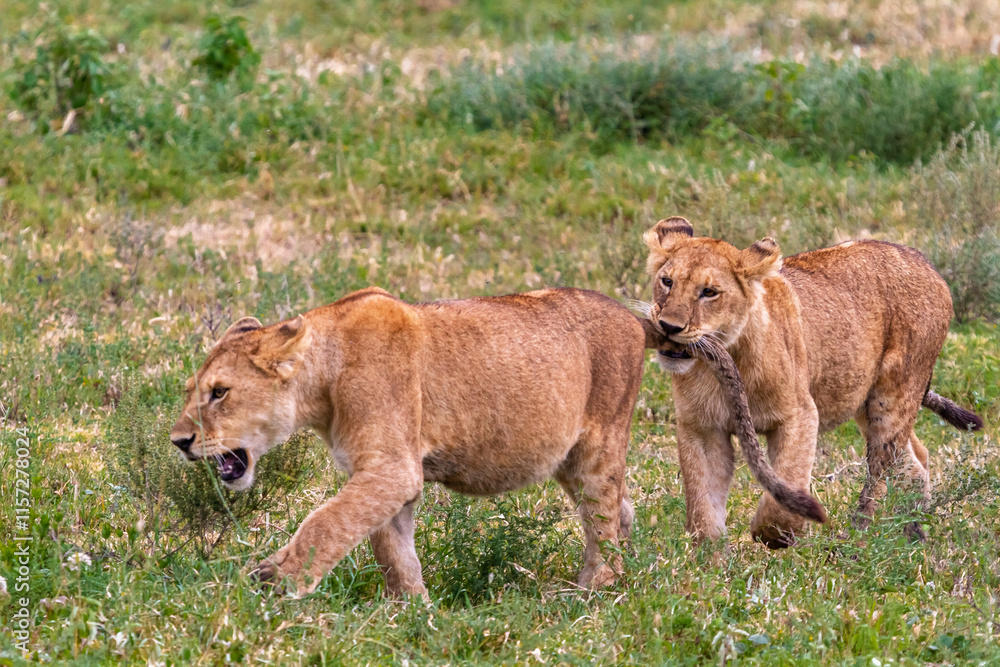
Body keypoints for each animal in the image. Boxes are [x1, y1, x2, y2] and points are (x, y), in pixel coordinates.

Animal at [170, 287, 650, 598]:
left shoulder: (393, 469)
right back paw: (624, 576)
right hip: (566, 459)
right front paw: (410, 609)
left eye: (219, 392)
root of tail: (630, 314)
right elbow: (392, 550)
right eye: (192, 389)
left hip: (597, 446)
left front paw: (276, 582)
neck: (324, 380)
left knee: (603, 519)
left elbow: (327, 522)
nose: (178, 441)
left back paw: (593, 593)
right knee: (621, 507)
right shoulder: (378, 473)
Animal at [641, 216, 983, 548]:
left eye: (709, 292)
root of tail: (925, 262)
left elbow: (789, 479)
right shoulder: (702, 428)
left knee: (882, 469)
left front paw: (775, 534)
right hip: (864, 400)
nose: (669, 326)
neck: (720, 362)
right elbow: (703, 506)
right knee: (914, 457)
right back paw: (912, 534)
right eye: (667, 281)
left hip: (893, 396)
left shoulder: (799, 415)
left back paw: (860, 540)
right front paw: (711, 559)